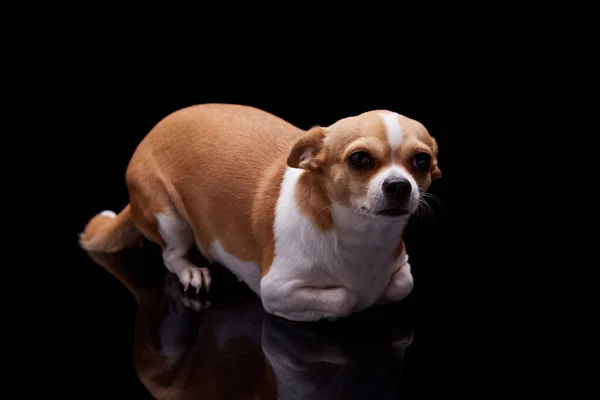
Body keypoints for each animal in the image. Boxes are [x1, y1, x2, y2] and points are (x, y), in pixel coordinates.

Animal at [79, 103, 440, 322]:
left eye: (422, 161)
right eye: (360, 159)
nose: (399, 185)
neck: (359, 237)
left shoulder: (401, 266)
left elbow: (402, 283)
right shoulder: (277, 291)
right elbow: (345, 297)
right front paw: (359, 299)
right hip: (168, 217)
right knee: (171, 255)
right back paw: (191, 271)